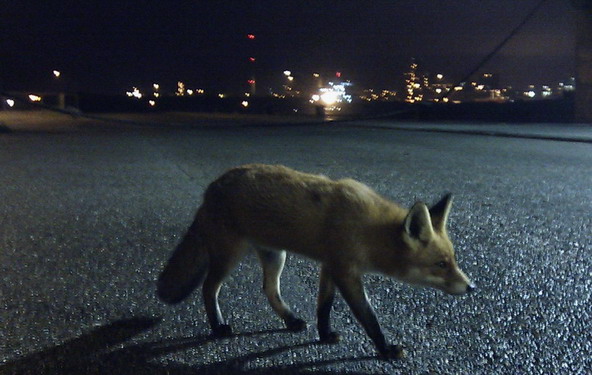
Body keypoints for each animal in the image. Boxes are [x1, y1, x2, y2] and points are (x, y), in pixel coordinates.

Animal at [155, 164, 474, 358]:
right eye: (441, 264)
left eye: (454, 260)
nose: (471, 287)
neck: (368, 230)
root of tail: (212, 188)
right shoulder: (346, 271)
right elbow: (368, 316)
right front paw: (385, 350)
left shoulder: (330, 265)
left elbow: (324, 306)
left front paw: (324, 335)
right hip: (229, 255)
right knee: (209, 288)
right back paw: (218, 327)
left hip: (275, 255)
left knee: (269, 289)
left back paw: (290, 320)